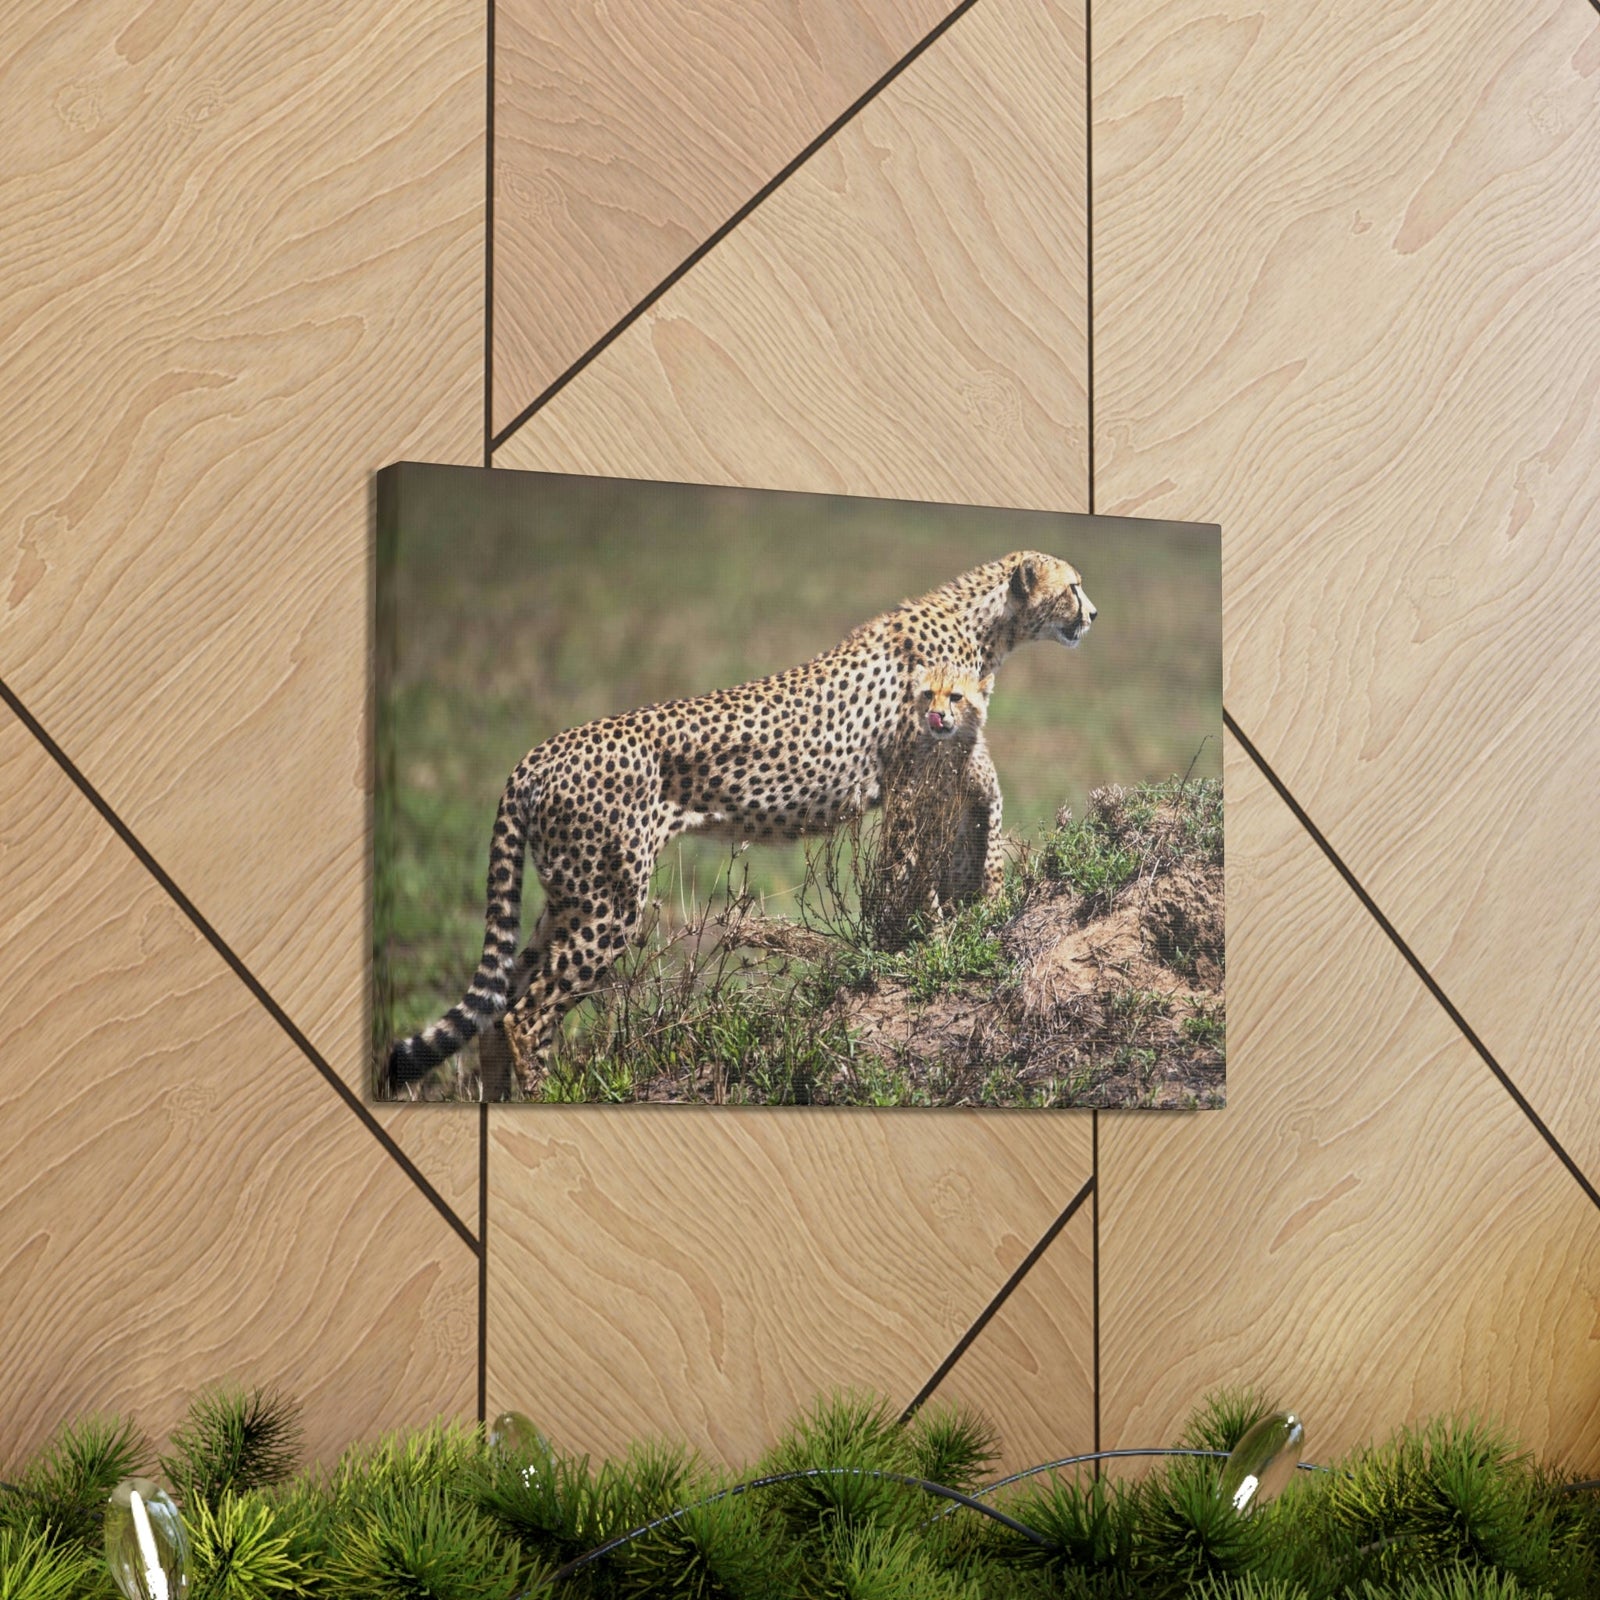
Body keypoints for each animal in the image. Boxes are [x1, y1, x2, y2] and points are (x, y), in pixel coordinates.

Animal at [384, 550, 1096, 1097]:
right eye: (1074, 585)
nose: (1092, 614)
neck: (986, 625)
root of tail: (536, 753)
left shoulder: (952, 757)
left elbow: (981, 816)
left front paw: (977, 906)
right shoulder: (915, 776)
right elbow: (916, 861)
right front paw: (919, 934)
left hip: (570, 898)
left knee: (501, 1004)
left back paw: (501, 1100)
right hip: (609, 904)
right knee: (526, 1015)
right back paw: (543, 1098)